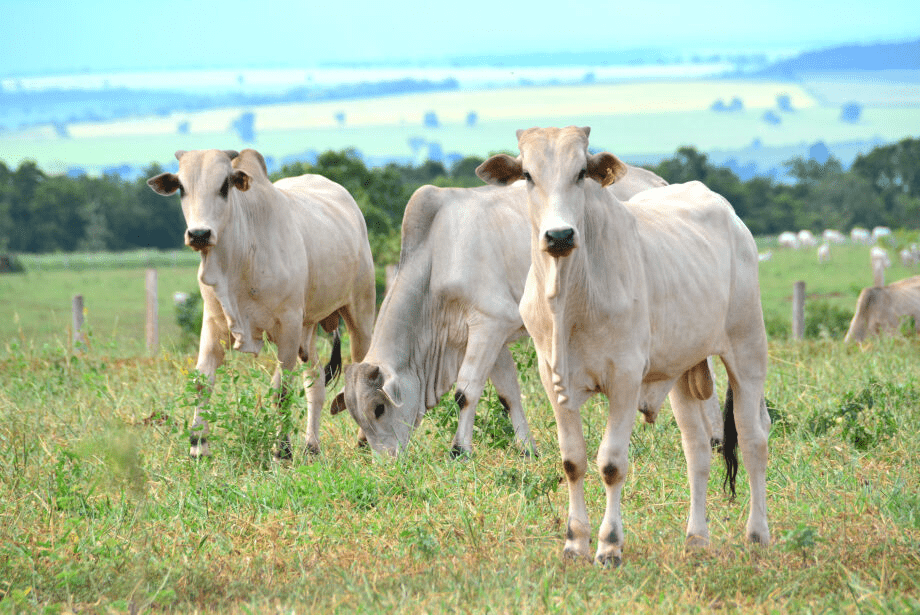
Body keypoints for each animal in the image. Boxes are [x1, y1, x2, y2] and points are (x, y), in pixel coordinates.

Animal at [146, 149, 374, 458]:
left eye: (224, 186)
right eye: (181, 187)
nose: (199, 234)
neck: (240, 258)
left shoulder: (287, 327)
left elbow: (281, 392)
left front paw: (282, 450)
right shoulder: (214, 323)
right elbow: (202, 383)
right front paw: (198, 446)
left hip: (359, 313)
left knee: (362, 370)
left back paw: (363, 442)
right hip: (308, 330)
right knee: (315, 381)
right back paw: (311, 446)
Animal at [334, 164, 728, 458]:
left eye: (378, 408)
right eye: (358, 417)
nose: (386, 463)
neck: (437, 256)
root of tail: (658, 182)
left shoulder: (489, 323)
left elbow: (465, 391)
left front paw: (460, 450)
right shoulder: (494, 334)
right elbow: (508, 394)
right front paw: (527, 449)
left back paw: (716, 438)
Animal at [474, 126, 768, 568]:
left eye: (581, 173)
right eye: (527, 175)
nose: (559, 236)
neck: (571, 298)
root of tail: (731, 217)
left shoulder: (626, 379)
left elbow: (611, 464)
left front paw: (609, 545)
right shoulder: (552, 378)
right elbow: (572, 461)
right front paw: (574, 542)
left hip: (747, 349)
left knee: (752, 440)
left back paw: (757, 534)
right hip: (682, 372)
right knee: (697, 450)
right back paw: (696, 538)